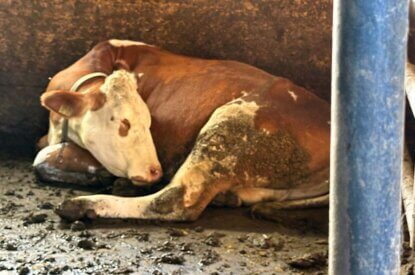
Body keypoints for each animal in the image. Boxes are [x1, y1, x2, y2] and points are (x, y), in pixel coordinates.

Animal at [33, 40, 332, 223]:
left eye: (149, 122)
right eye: (123, 123)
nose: (154, 171)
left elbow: (41, 157)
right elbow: (42, 151)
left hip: (229, 127)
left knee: (175, 201)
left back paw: (83, 205)